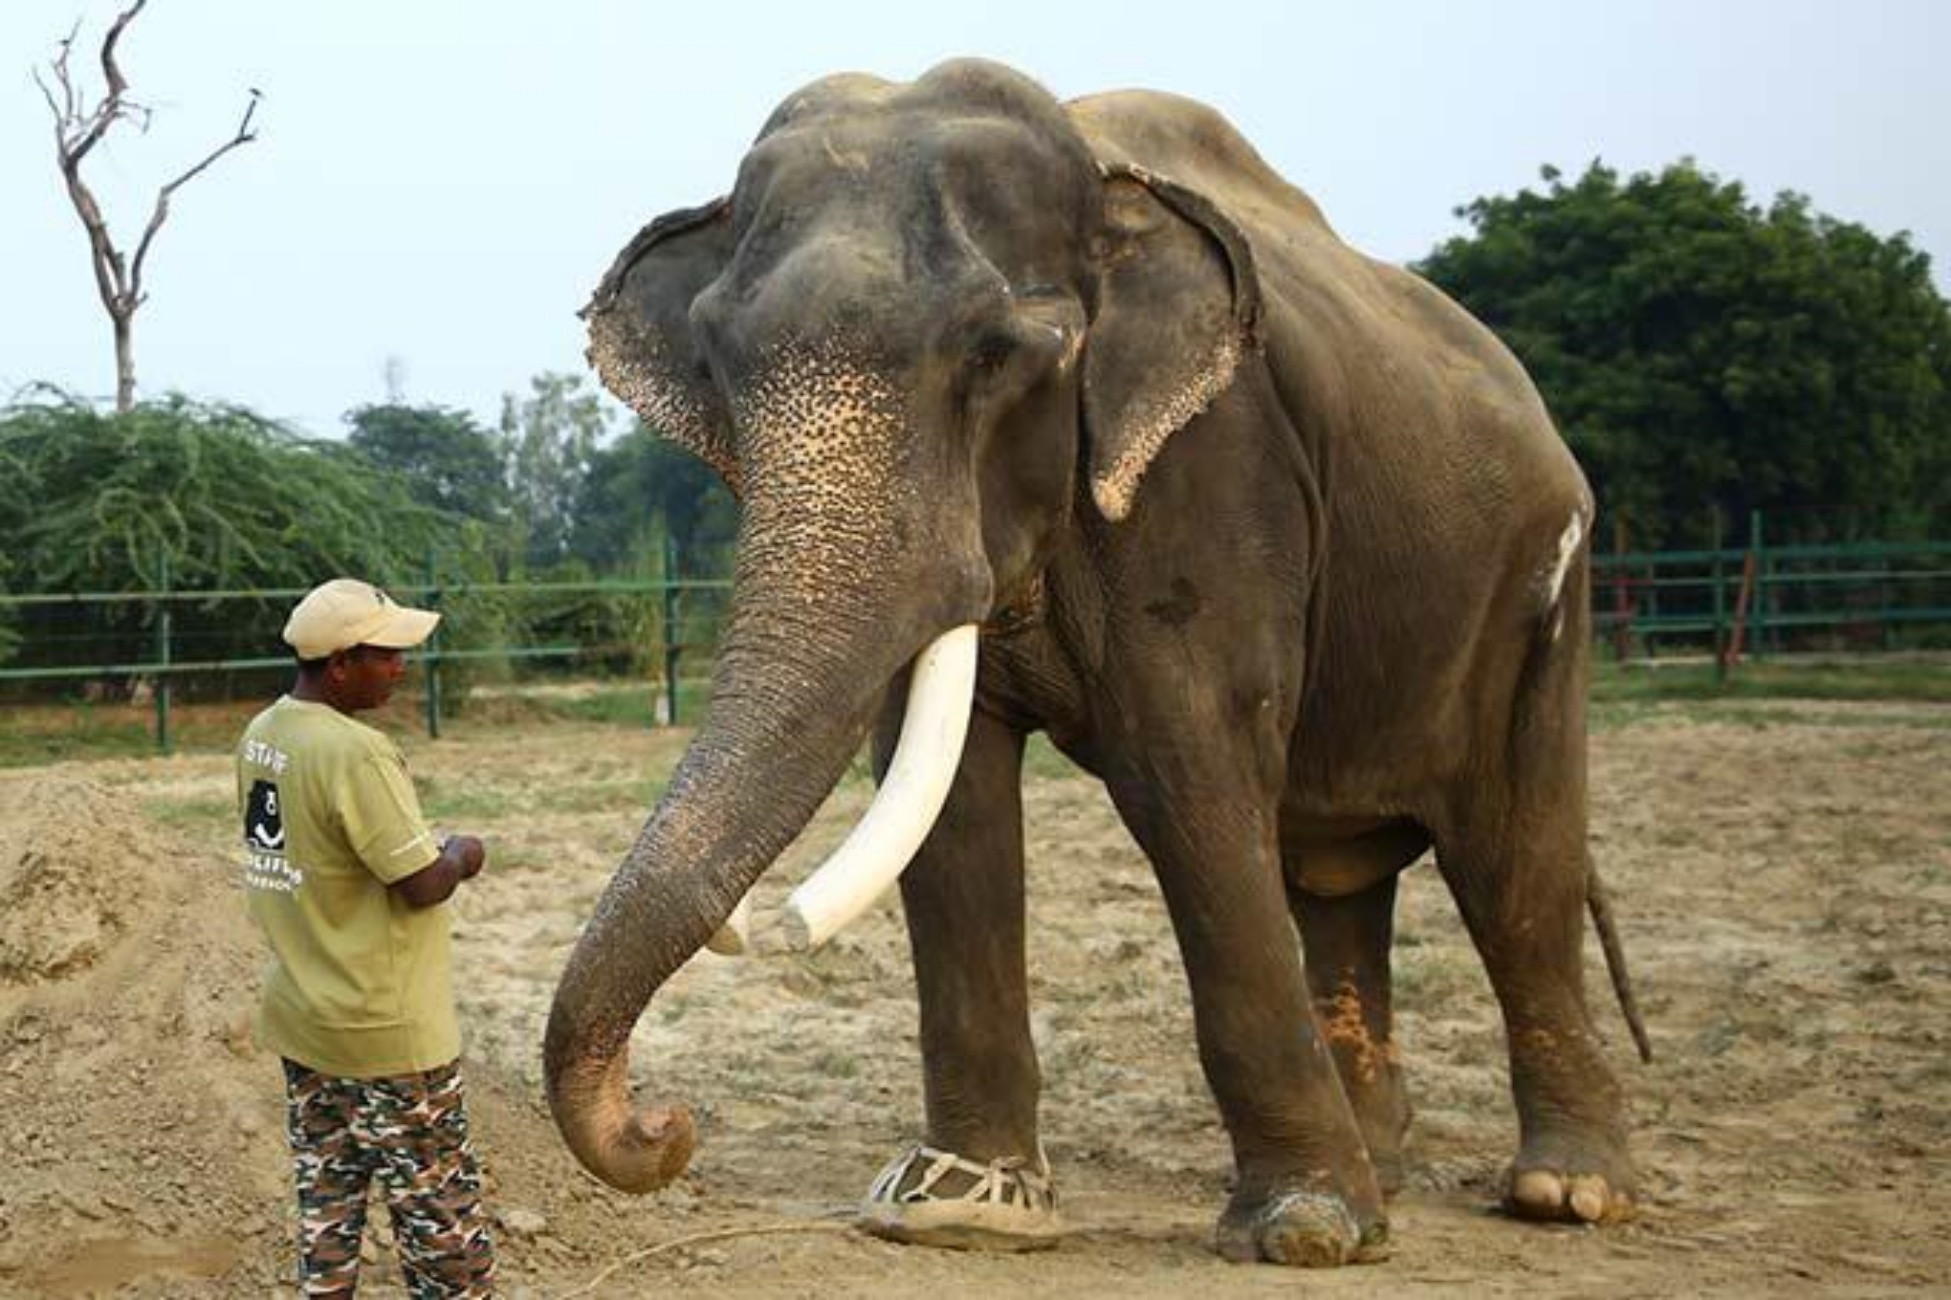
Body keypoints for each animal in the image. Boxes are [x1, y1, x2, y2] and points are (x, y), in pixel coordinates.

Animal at [546, 60, 1646, 1264]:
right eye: (718, 362)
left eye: (993, 357)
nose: (665, 1124)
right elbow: (948, 800)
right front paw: (955, 1205)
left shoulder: (1211, 472)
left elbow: (1187, 772)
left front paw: (1302, 1230)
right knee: (1336, 880)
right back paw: (1387, 1177)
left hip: (1543, 594)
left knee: (1511, 867)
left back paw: (1565, 1193)